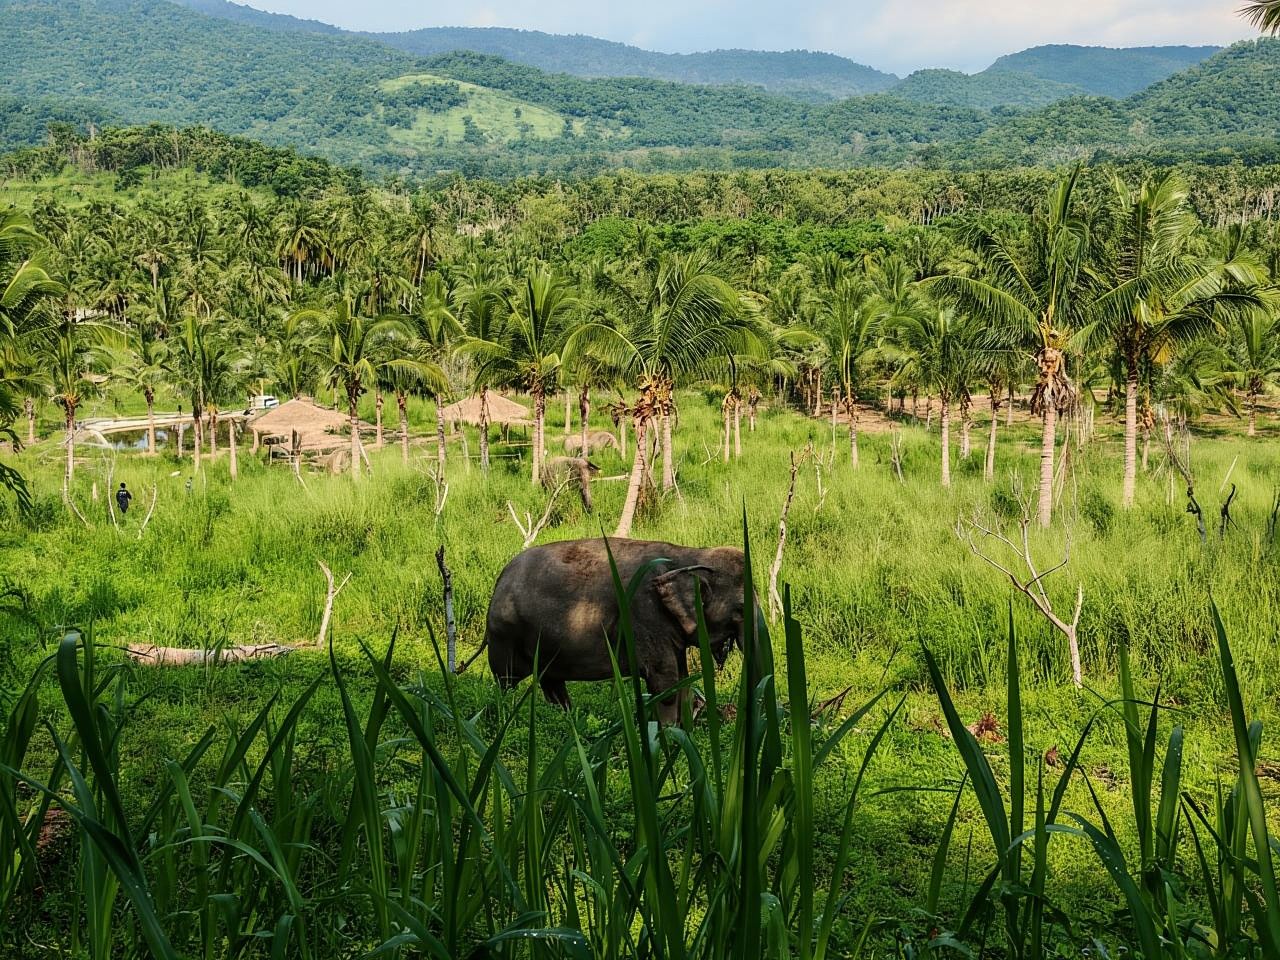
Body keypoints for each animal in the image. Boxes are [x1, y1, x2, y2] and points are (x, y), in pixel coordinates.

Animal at [484, 537, 757, 724]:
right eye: (741, 609)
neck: (689, 555)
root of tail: (499, 580)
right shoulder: (643, 614)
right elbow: (665, 681)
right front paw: (668, 735)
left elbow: (681, 677)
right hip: (505, 637)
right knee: (506, 681)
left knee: (552, 683)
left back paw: (567, 720)